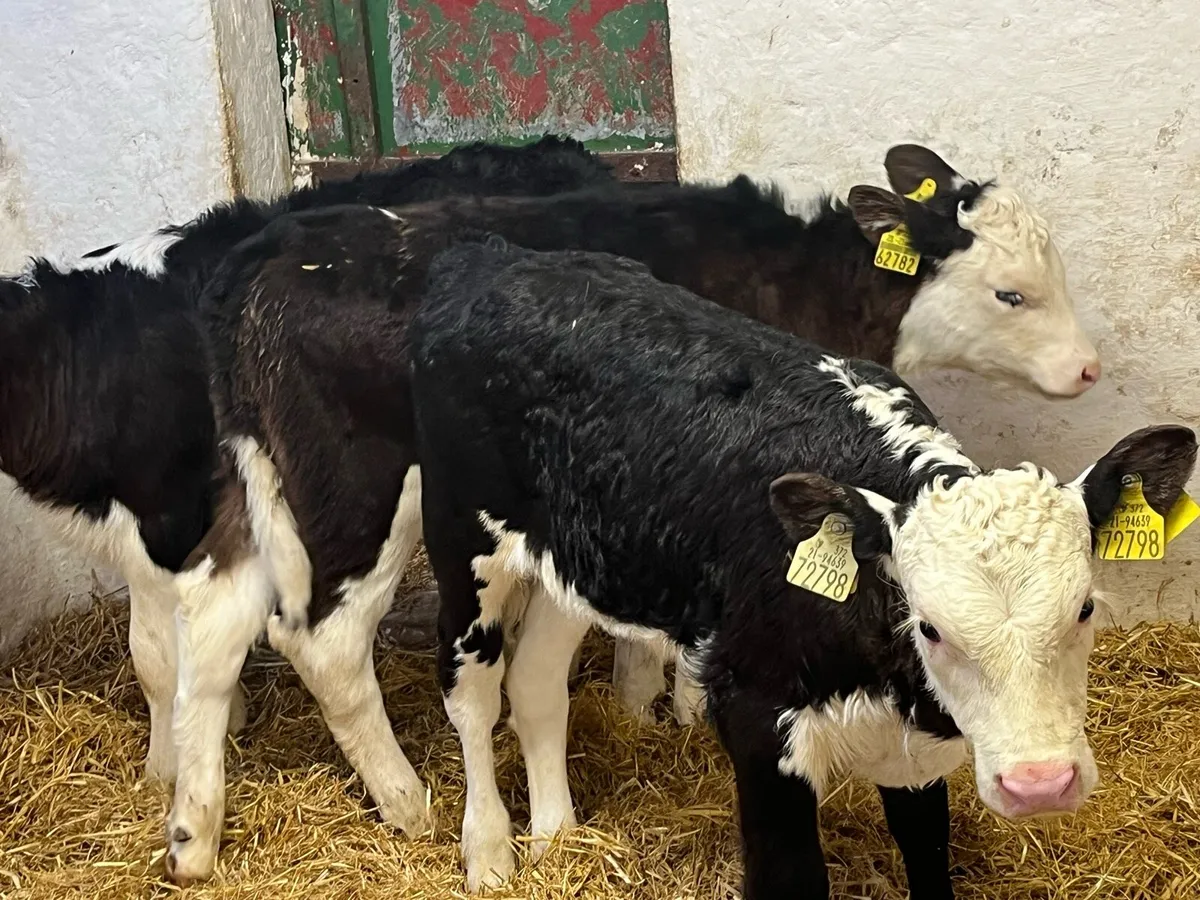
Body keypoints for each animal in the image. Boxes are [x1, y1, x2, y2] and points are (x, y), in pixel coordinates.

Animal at [166, 143, 1101, 882]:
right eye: (1011, 294)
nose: (1089, 370)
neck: (789, 276)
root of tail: (270, 252)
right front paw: (668, 701)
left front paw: (640, 702)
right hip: (369, 491)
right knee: (324, 640)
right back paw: (409, 804)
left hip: (260, 481)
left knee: (209, 615)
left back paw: (190, 830)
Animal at [408, 238, 1195, 896]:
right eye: (930, 627)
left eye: (1084, 608)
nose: (1041, 784)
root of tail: (501, 260)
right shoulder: (756, 726)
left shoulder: (914, 756)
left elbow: (928, 859)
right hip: (463, 536)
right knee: (472, 691)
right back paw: (489, 852)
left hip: (577, 562)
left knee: (536, 682)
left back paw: (558, 837)